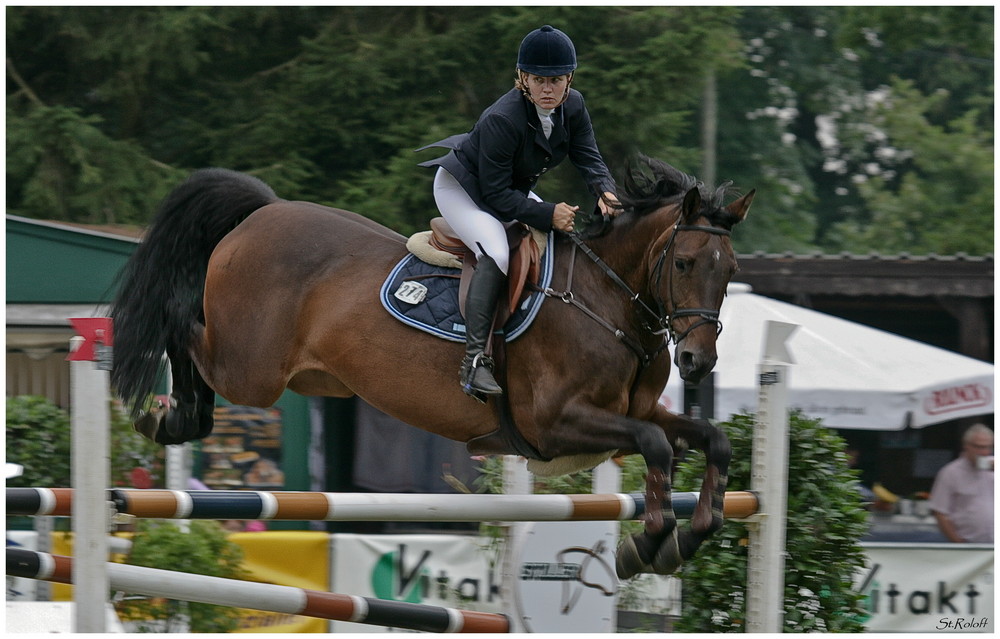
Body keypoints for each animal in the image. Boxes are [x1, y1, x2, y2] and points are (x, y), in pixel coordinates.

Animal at [111, 158, 752, 576]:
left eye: (730, 269)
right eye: (685, 262)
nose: (697, 361)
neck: (606, 298)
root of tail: (263, 212)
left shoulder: (631, 417)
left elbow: (709, 440)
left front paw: (689, 536)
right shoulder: (555, 424)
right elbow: (657, 445)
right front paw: (647, 545)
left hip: (292, 374)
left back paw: (178, 417)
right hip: (253, 370)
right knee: (179, 324)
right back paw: (171, 417)